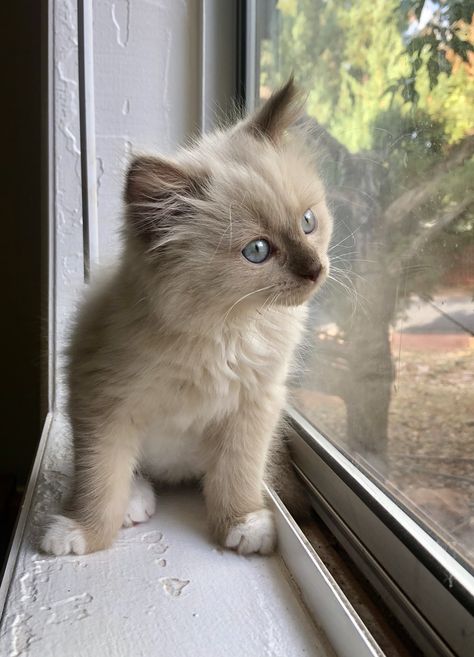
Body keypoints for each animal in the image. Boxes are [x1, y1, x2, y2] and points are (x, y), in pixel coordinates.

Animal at [43, 79, 334, 556]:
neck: (223, 328)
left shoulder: (254, 408)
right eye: (258, 251)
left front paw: (243, 523)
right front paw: (80, 533)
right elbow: (99, 480)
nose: (316, 270)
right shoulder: (102, 407)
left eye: (308, 223)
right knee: (131, 474)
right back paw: (134, 503)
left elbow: (238, 473)